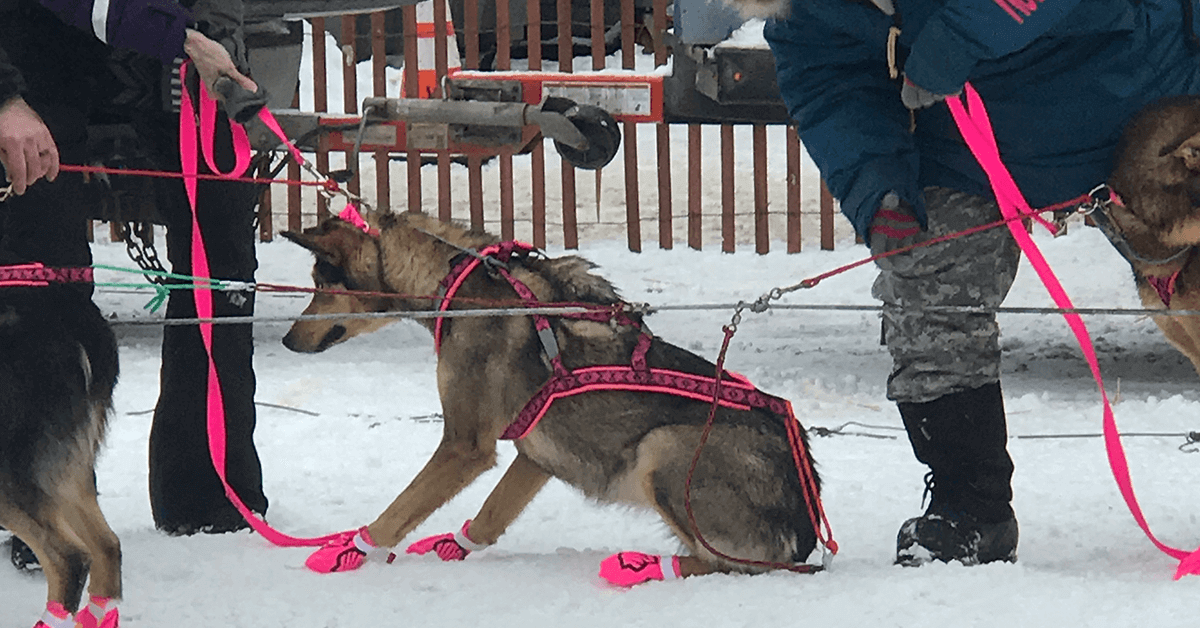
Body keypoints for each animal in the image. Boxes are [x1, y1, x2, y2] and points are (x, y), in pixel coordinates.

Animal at [280, 212, 825, 585]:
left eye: (319, 285)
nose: (287, 340)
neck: (456, 282)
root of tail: (806, 531)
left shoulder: (464, 446)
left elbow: (398, 510)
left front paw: (349, 551)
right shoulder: (536, 453)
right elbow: (489, 518)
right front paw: (452, 547)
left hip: (664, 447)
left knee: (737, 566)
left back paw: (643, 565)